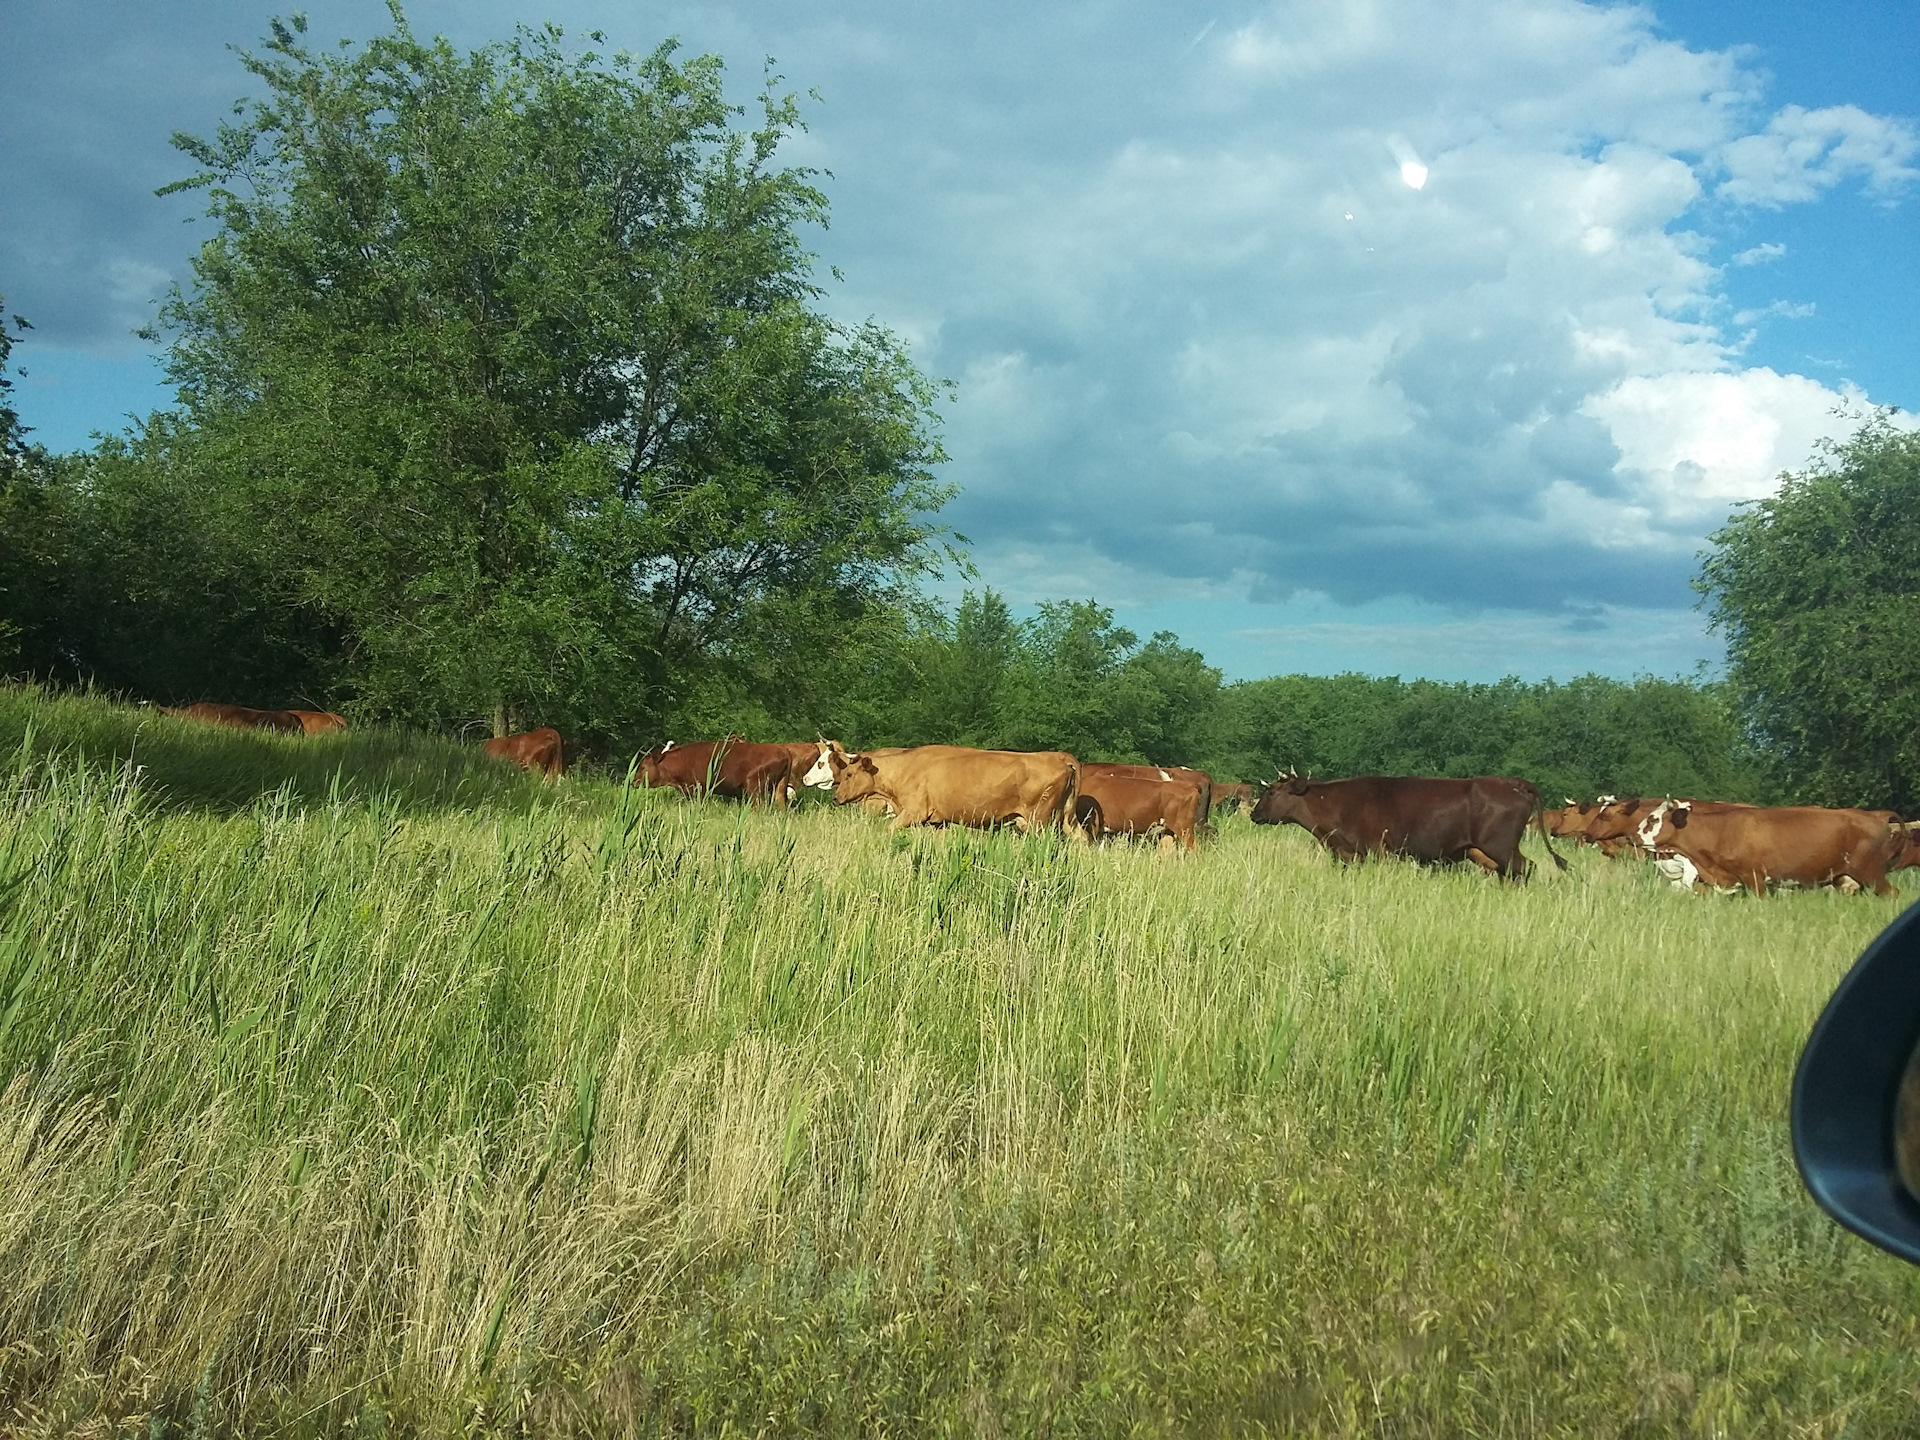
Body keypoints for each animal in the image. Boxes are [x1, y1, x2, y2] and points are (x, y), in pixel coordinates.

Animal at [637, 737, 787, 806]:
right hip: (779, 790)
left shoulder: (700, 790)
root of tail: (782, 750)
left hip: (755, 790)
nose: (633, 781)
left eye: (642, 767)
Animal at [821, 737, 1082, 840]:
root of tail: (1058, 756)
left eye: (849, 774)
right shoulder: (939, 822)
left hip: (1040, 821)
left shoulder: (913, 812)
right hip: (1065, 819)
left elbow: (890, 829)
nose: (836, 797)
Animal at [1251, 779, 1566, 879]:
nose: (1254, 813)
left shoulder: (1379, 852)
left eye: (1272, 792)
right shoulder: (1348, 854)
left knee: (1524, 868)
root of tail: (1514, 783)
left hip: (1501, 846)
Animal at [1635, 802, 1904, 902]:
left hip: (1871, 873)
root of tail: (1874, 814)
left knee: (1892, 892)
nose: (1633, 836)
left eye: (1653, 820)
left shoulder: (1755, 879)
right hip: (1846, 879)